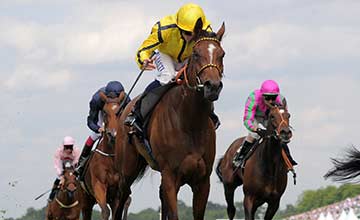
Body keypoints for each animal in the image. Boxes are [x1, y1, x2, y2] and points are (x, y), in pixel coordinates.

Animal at [114, 19, 225, 219]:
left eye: (222, 54)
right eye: (196, 54)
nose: (212, 86)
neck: (190, 122)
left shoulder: (203, 181)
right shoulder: (170, 177)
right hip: (126, 171)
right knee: (120, 200)